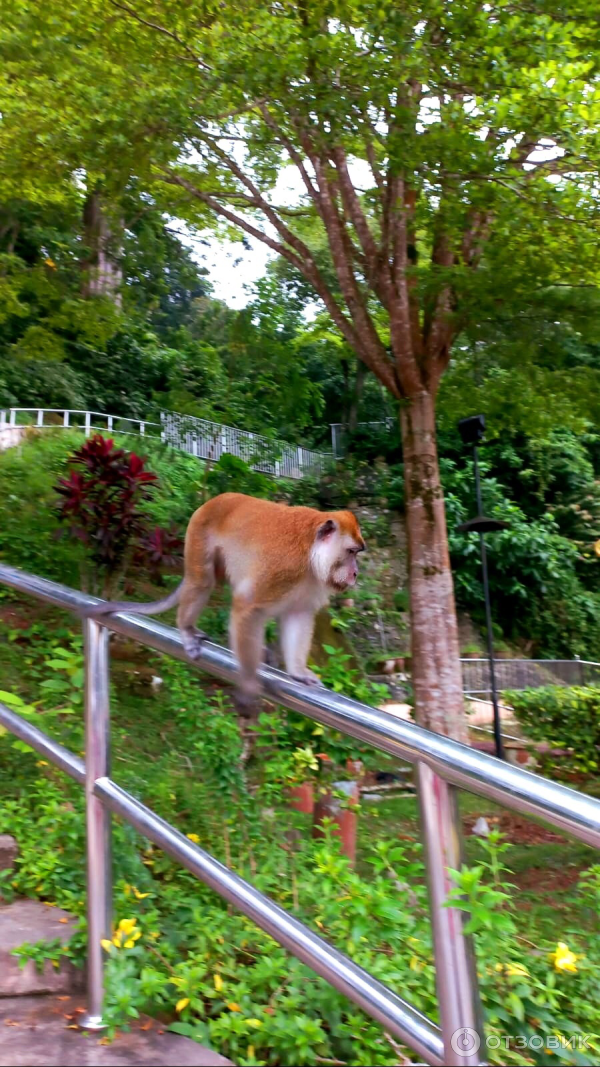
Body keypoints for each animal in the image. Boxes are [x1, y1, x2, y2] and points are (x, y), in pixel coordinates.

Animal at [92, 492, 365, 712]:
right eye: (351, 552)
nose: (355, 573)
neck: (311, 555)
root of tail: (214, 500)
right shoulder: (284, 567)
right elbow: (247, 606)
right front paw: (248, 686)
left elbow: (297, 616)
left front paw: (297, 672)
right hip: (198, 532)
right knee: (202, 582)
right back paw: (186, 628)